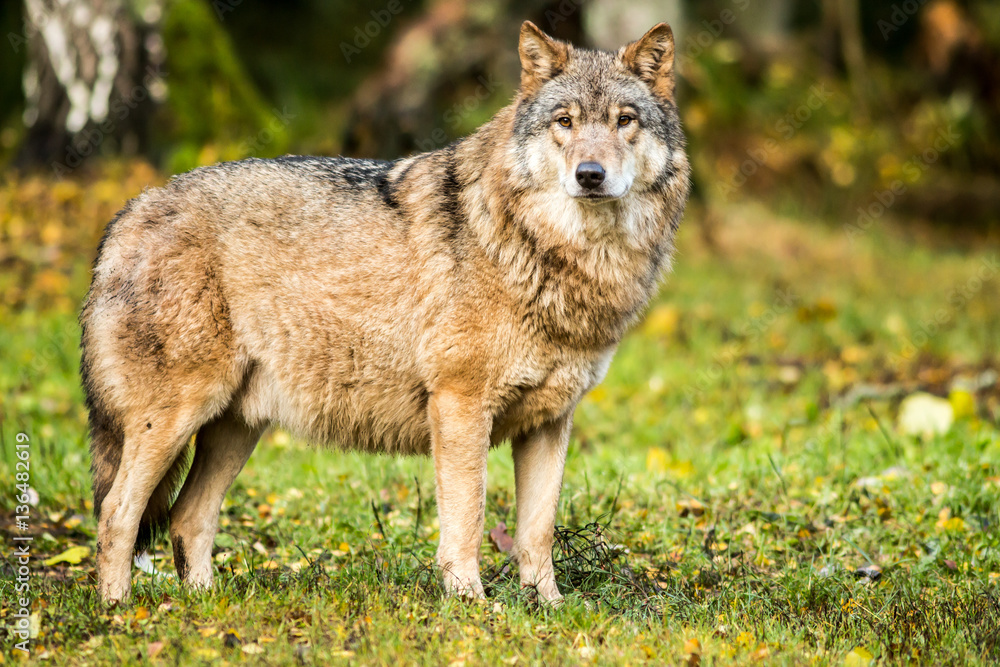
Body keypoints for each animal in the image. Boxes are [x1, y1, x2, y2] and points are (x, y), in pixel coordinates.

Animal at [80, 20, 688, 604]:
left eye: (625, 121)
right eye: (565, 121)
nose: (590, 174)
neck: (556, 257)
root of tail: (127, 214)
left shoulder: (550, 421)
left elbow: (536, 533)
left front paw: (549, 608)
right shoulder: (460, 405)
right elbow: (467, 519)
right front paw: (471, 604)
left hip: (235, 427)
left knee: (187, 518)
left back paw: (205, 608)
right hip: (175, 418)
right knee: (116, 516)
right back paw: (122, 614)